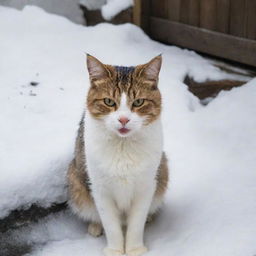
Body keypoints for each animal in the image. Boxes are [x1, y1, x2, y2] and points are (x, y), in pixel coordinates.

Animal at [67, 54, 169, 256]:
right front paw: (114, 250)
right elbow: (111, 225)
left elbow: (136, 223)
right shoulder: (100, 188)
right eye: (108, 101)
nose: (123, 119)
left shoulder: (146, 186)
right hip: (75, 181)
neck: (123, 145)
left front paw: (135, 249)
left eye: (138, 102)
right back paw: (95, 226)